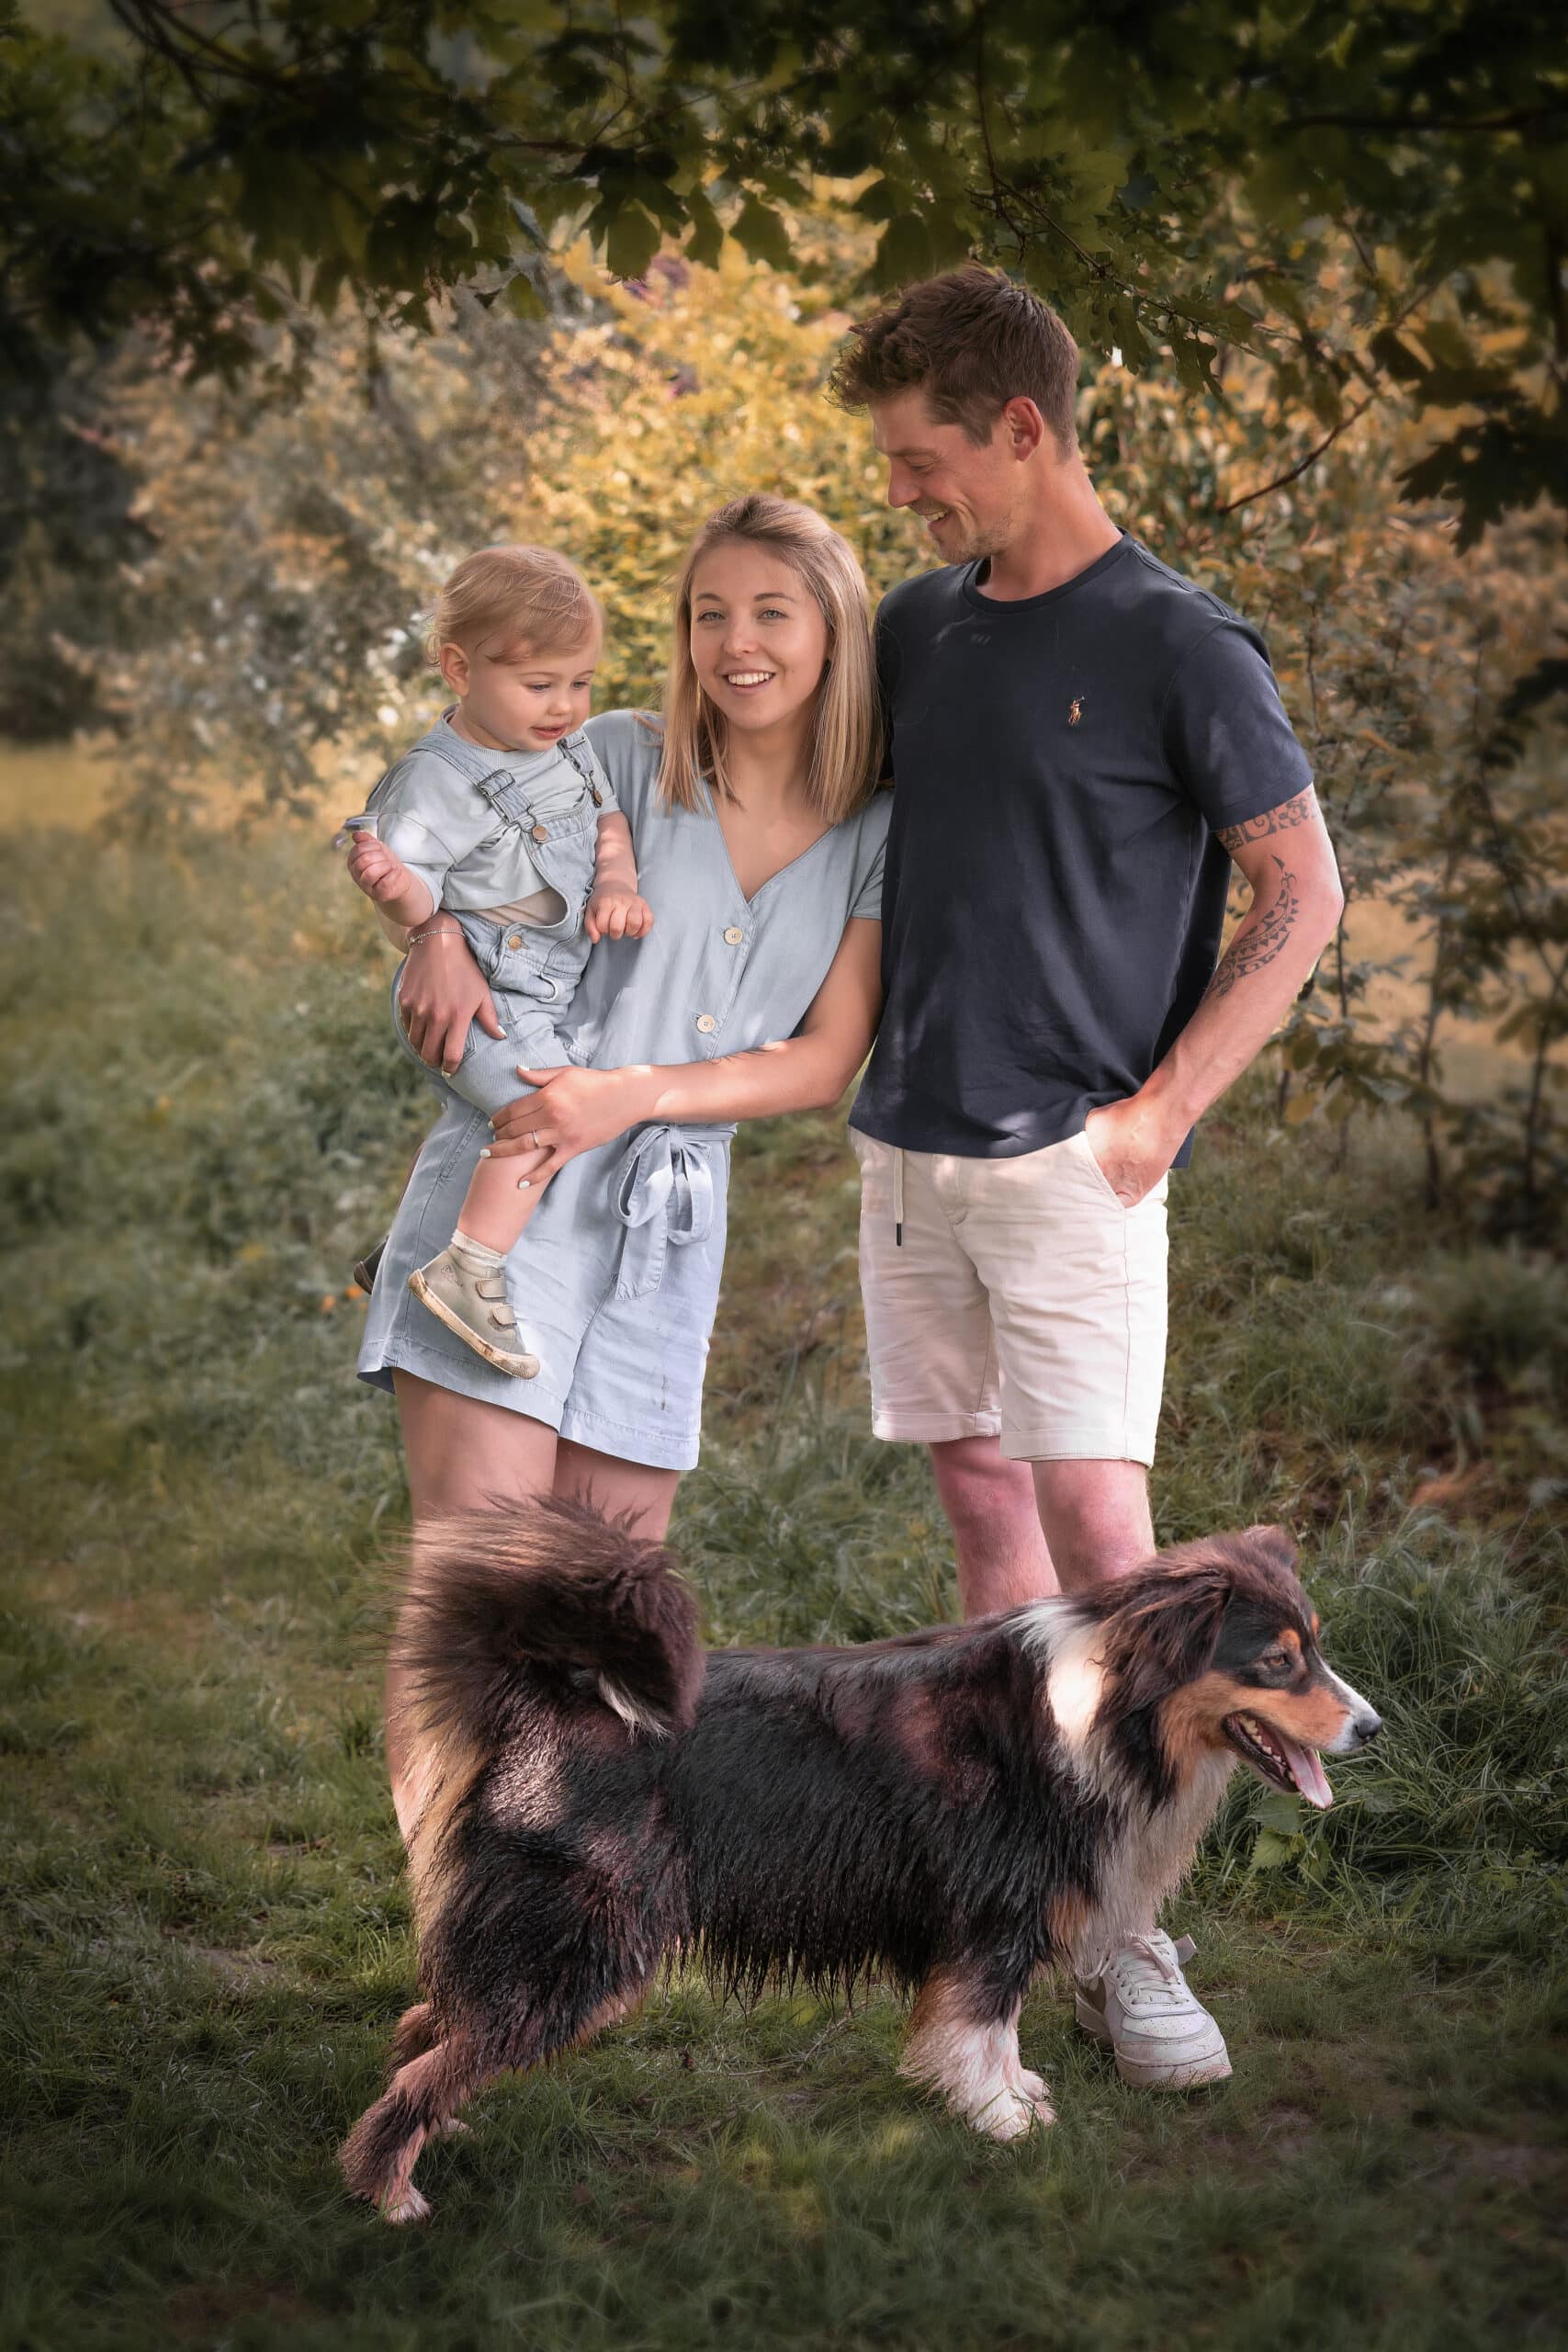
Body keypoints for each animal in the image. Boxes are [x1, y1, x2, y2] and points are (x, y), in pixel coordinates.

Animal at [341, 1505, 1372, 2220]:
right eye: (1277, 1663)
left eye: (1316, 1646)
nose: (1372, 1726)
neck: (1117, 1707)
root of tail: (545, 1695)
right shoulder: (996, 1912)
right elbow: (982, 2022)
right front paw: (1002, 2118)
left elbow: (989, 2023)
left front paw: (1011, 2097)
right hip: (585, 1944)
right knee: (442, 2049)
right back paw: (388, 2191)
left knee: (429, 2023)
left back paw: (443, 2127)